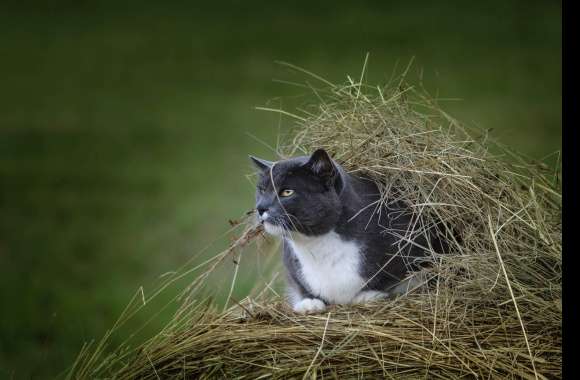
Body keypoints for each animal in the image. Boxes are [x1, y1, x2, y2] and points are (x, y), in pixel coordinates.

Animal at [250, 149, 448, 314]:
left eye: (287, 192)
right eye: (261, 189)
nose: (260, 208)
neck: (319, 242)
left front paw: (369, 295)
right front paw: (309, 303)